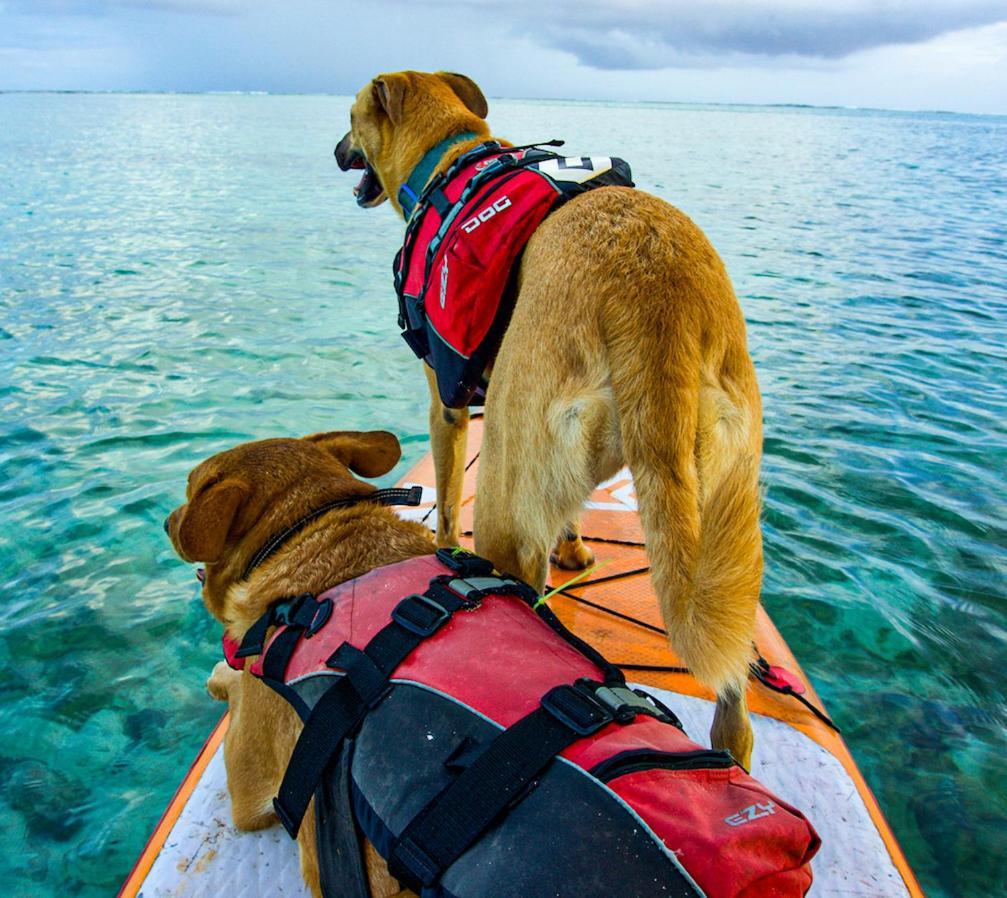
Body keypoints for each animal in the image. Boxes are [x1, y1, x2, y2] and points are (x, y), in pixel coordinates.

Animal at [164, 428, 428, 898]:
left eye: (191, 492)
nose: (164, 522)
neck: (304, 530)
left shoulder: (248, 779)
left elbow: (235, 682)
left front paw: (219, 676)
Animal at [334, 73, 757, 769]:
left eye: (350, 119)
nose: (336, 150)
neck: (449, 157)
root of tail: (654, 297)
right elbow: (569, 511)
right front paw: (576, 549)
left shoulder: (446, 404)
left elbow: (446, 495)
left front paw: (444, 546)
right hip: (728, 523)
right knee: (735, 709)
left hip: (504, 483)